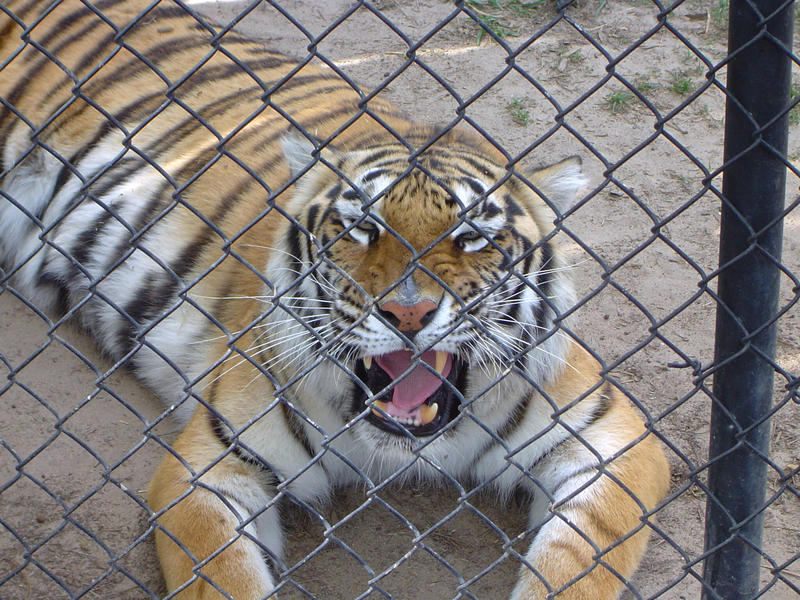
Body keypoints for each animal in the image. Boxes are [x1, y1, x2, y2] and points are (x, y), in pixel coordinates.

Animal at [0, 1, 672, 600]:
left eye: (472, 237)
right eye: (361, 228)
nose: (408, 313)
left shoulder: (614, 438)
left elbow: (577, 569)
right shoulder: (208, 463)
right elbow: (223, 577)